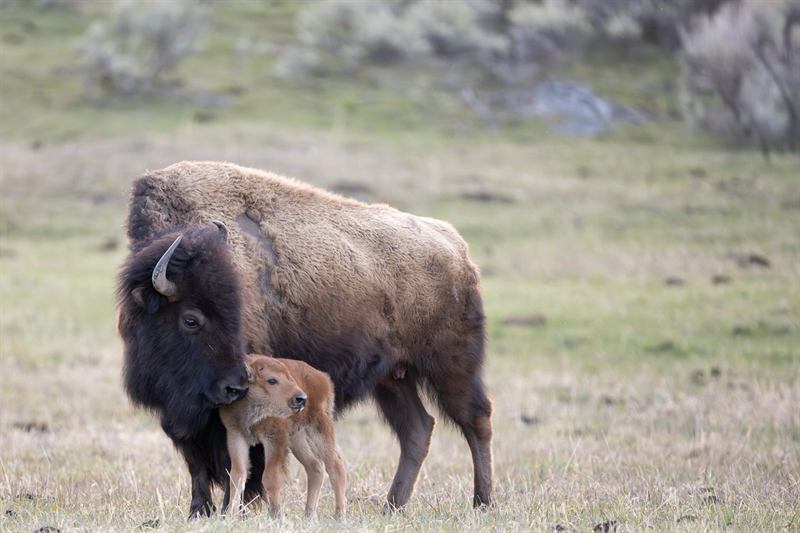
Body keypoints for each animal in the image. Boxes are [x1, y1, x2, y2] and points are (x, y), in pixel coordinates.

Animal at [116, 161, 493, 518]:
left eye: (237, 312)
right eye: (191, 319)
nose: (234, 387)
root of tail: (456, 249)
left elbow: (240, 464)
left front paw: (233, 509)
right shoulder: (185, 416)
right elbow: (198, 463)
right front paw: (199, 511)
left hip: (452, 367)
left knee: (476, 420)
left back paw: (483, 502)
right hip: (392, 379)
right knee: (417, 429)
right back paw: (392, 506)